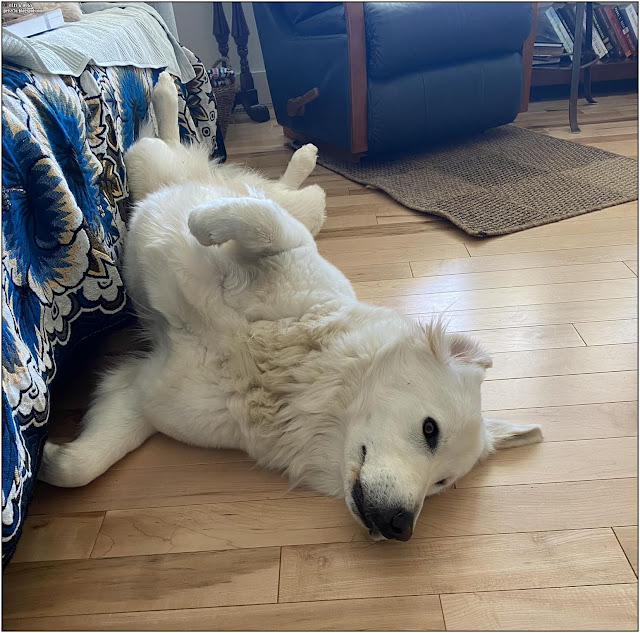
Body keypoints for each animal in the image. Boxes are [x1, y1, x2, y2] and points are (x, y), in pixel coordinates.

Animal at [38, 73, 540, 540]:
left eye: (442, 484)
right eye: (430, 430)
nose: (401, 528)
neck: (294, 372)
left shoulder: (141, 391)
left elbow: (81, 467)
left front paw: (46, 458)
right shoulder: (288, 246)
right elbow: (260, 222)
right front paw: (200, 223)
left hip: (251, 193)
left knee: (276, 186)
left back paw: (301, 154)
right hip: (150, 167)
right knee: (188, 155)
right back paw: (170, 92)